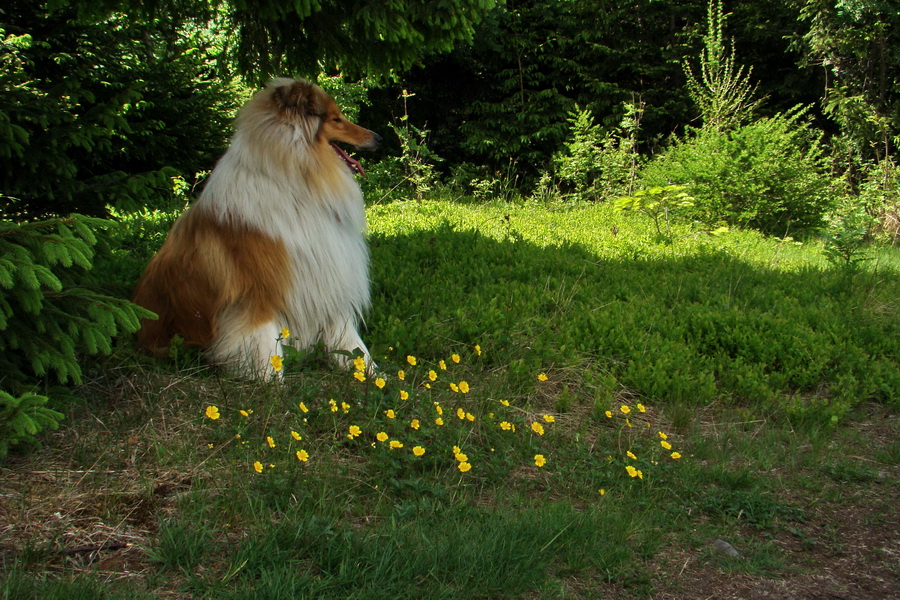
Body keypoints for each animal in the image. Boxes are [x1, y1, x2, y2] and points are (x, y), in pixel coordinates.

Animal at [133, 77, 380, 378]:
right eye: (336, 119)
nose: (378, 138)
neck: (296, 184)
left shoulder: (325, 277)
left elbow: (347, 337)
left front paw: (369, 371)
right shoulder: (258, 292)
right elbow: (264, 343)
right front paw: (270, 379)